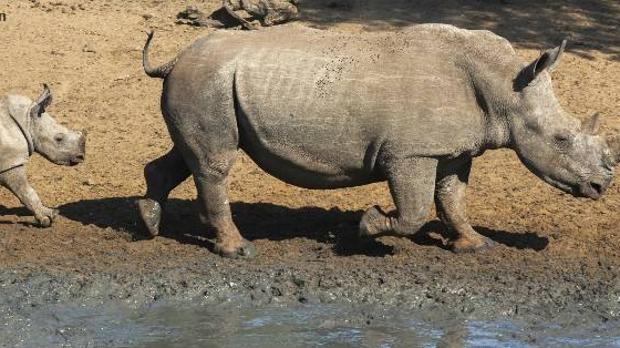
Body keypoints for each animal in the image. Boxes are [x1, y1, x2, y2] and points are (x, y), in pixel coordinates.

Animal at [0, 84, 86, 226]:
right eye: (58, 139)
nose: (81, 156)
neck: (27, 119)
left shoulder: (8, 161)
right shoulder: (11, 162)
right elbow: (25, 190)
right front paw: (48, 218)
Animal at [139, 24, 620, 256]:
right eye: (561, 139)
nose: (602, 186)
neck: (506, 86)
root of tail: (174, 58)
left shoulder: (451, 149)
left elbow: (452, 198)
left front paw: (475, 245)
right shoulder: (411, 151)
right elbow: (415, 210)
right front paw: (369, 226)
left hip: (204, 80)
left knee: (188, 157)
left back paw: (149, 224)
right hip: (207, 80)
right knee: (215, 163)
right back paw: (239, 251)